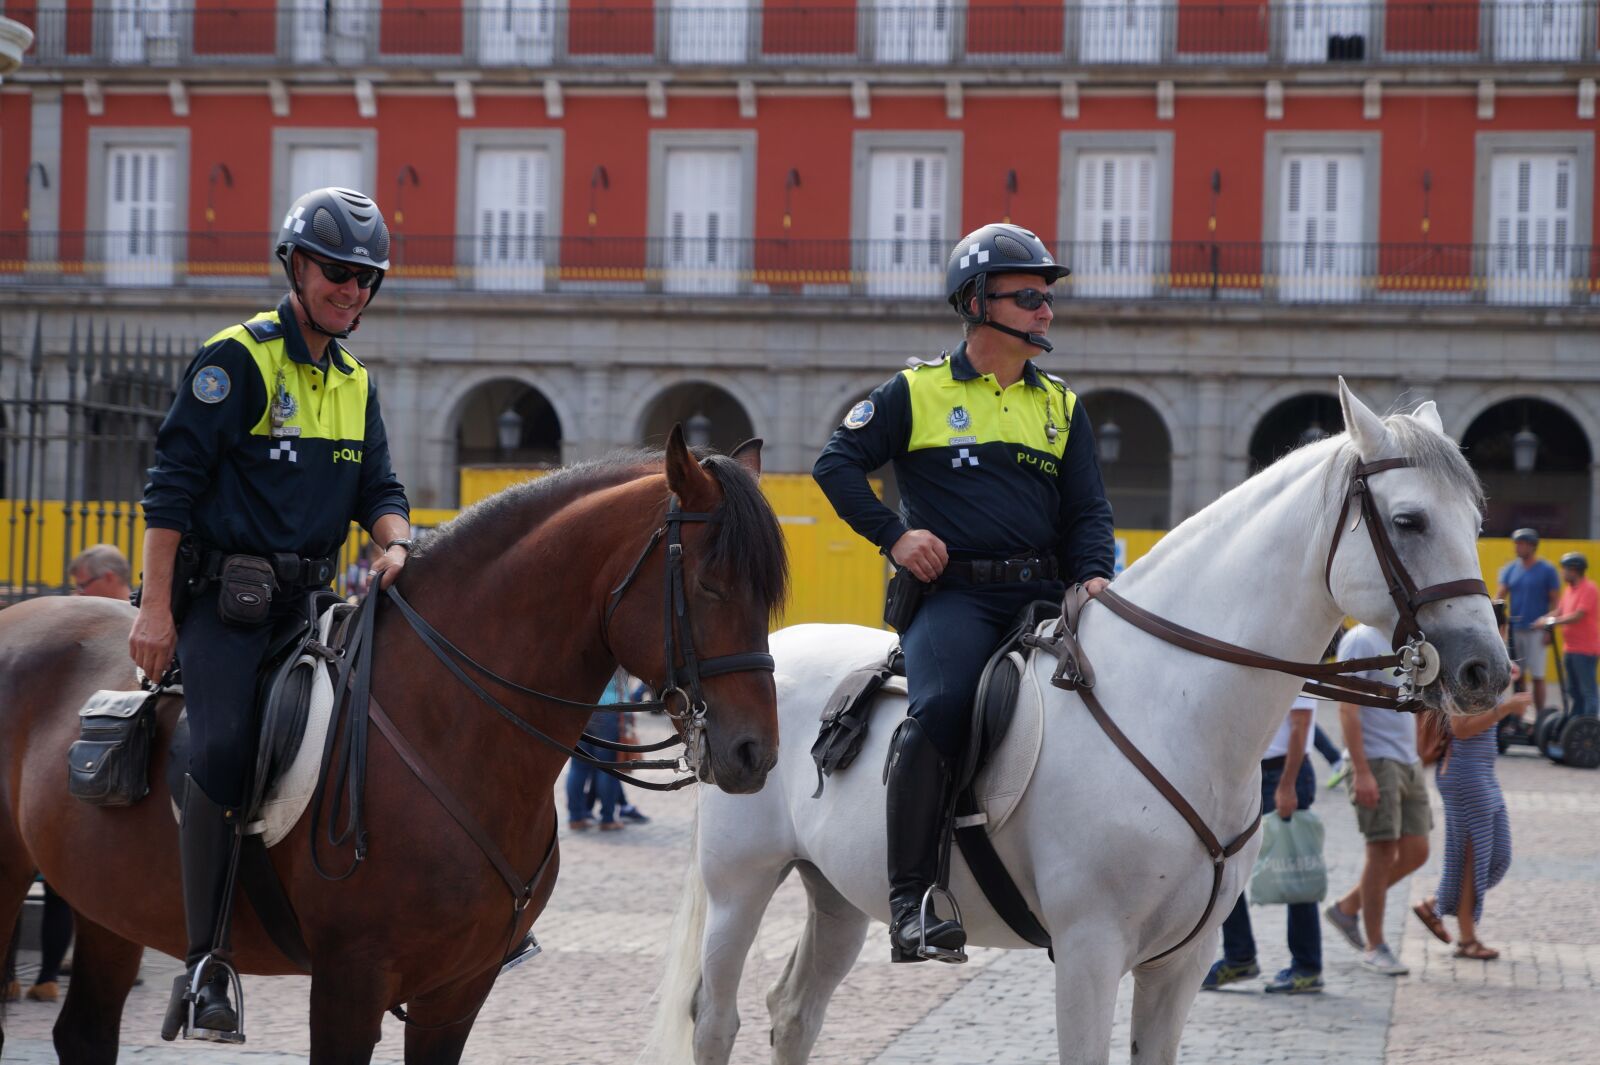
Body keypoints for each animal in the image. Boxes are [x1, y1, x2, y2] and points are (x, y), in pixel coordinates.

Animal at [0, 428, 787, 1055]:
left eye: (768, 590)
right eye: (711, 583)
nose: (757, 752)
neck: (452, 730)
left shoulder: (457, 992)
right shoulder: (349, 984)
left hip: (110, 907)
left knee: (86, 1031)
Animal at [643, 382, 1504, 1061]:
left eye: (1476, 517)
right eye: (1410, 519)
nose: (1486, 670)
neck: (1176, 707)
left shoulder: (1178, 964)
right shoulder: (1090, 951)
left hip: (838, 894)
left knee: (794, 1013)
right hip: (739, 886)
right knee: (715, 1018)